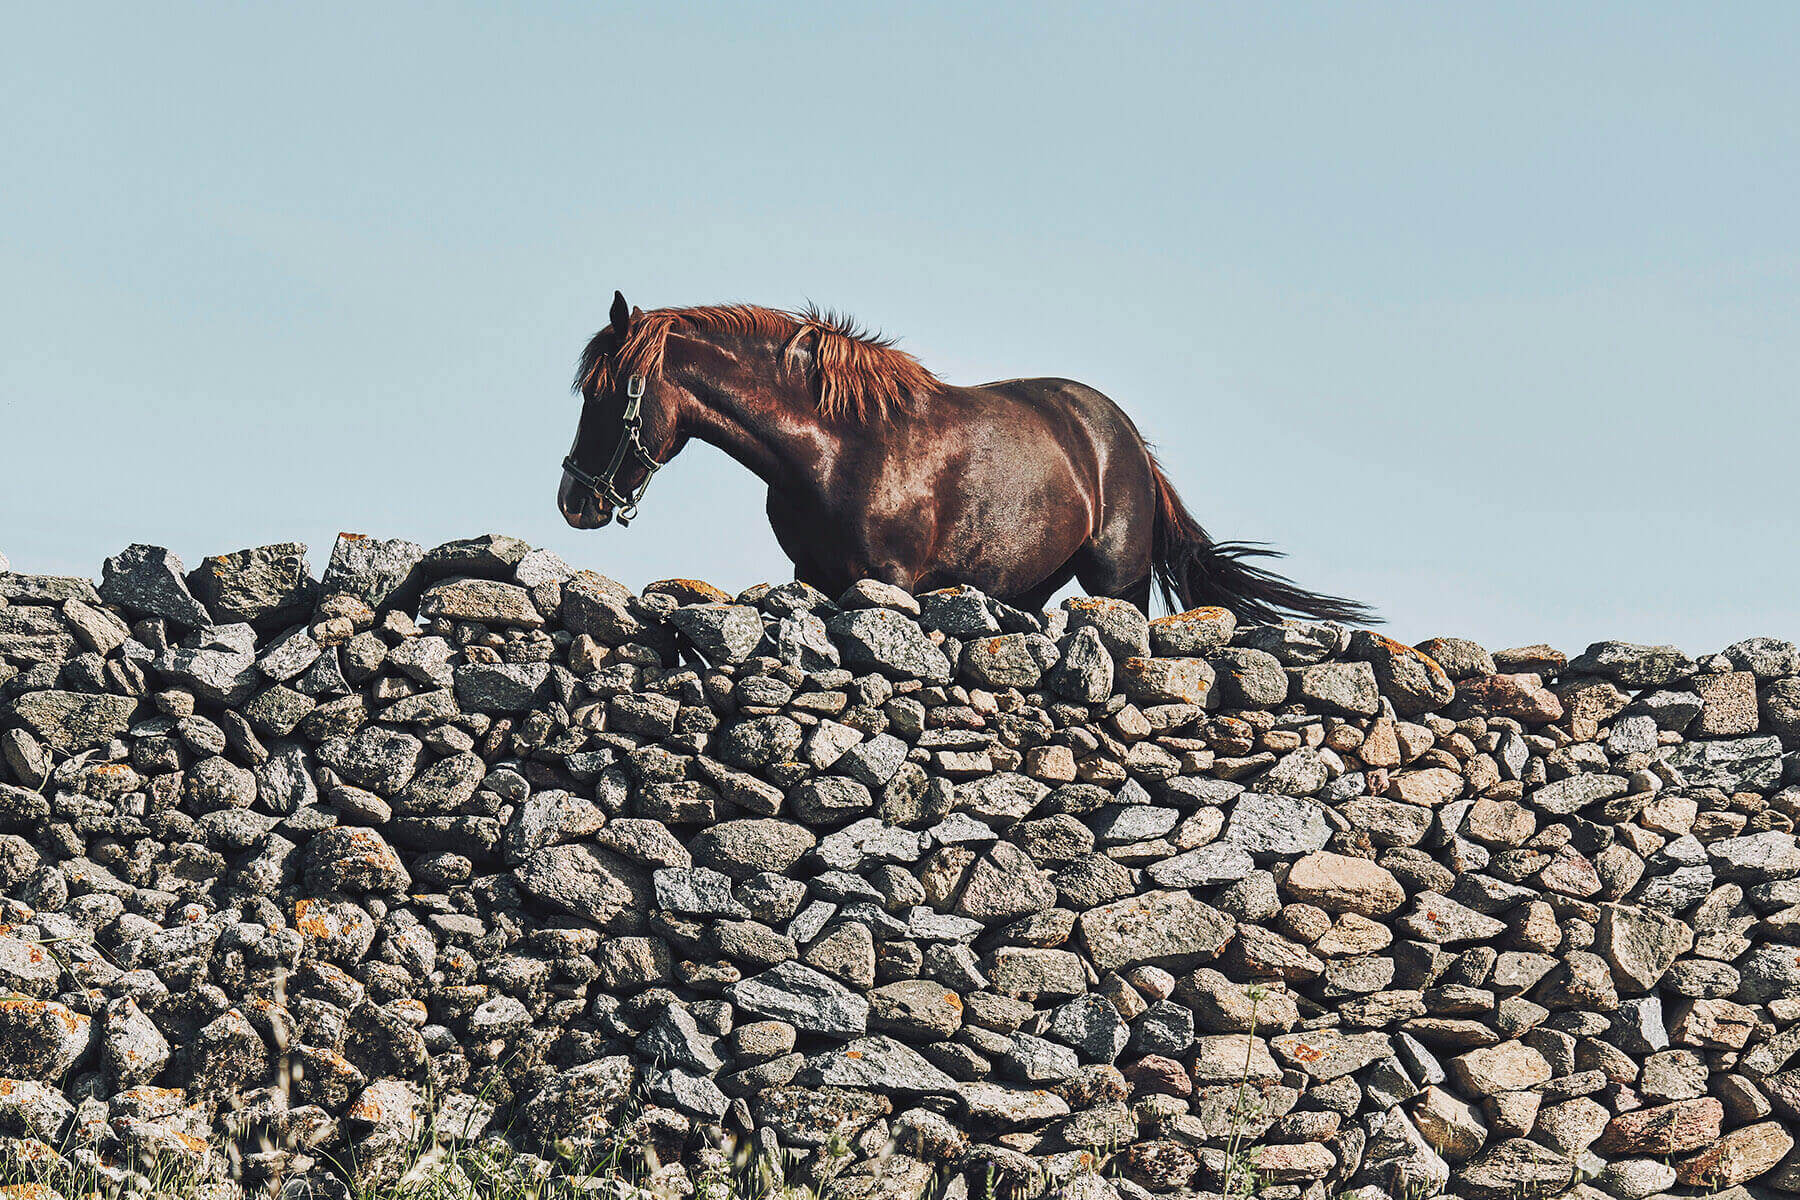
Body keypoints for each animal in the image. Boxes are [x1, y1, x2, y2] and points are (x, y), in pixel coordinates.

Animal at [561, 295, 1375, 626]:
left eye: (602, 394)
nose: (574, 501)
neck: (835, 448)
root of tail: (1125, 439)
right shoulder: (816, 578)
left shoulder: (886, 581)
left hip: (1117, 583)